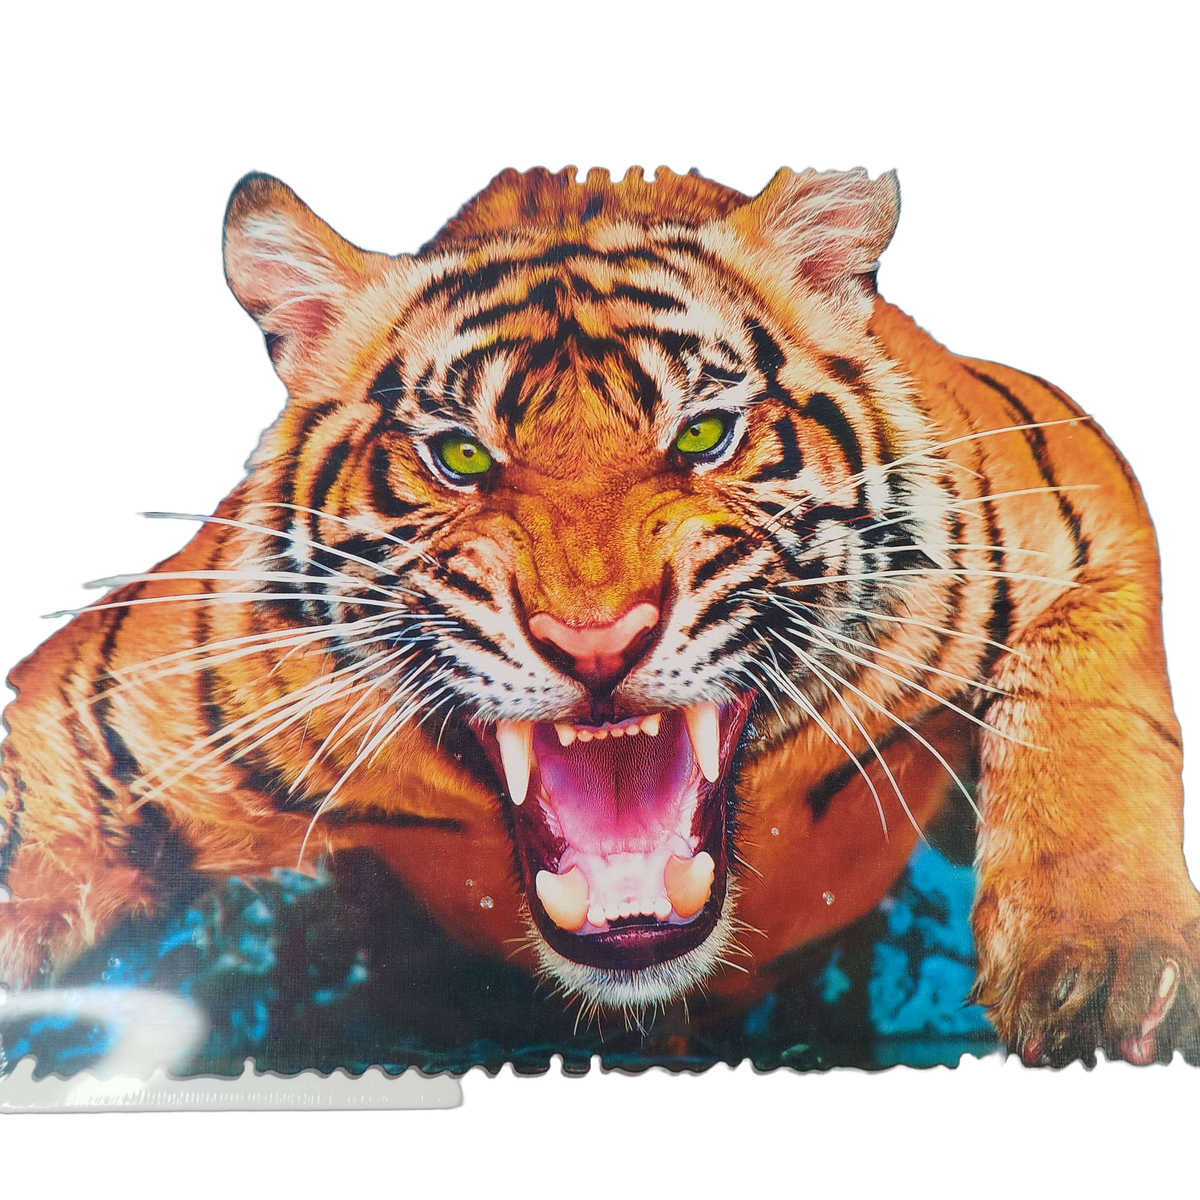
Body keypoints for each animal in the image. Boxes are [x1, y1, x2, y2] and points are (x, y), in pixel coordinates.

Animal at [1, 164, 1195, 1069]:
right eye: (461, 456)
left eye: (704, 435)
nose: (596, 641)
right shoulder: (91, 716)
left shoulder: (1070, 482)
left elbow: (1088, 712)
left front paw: (1100, 971)